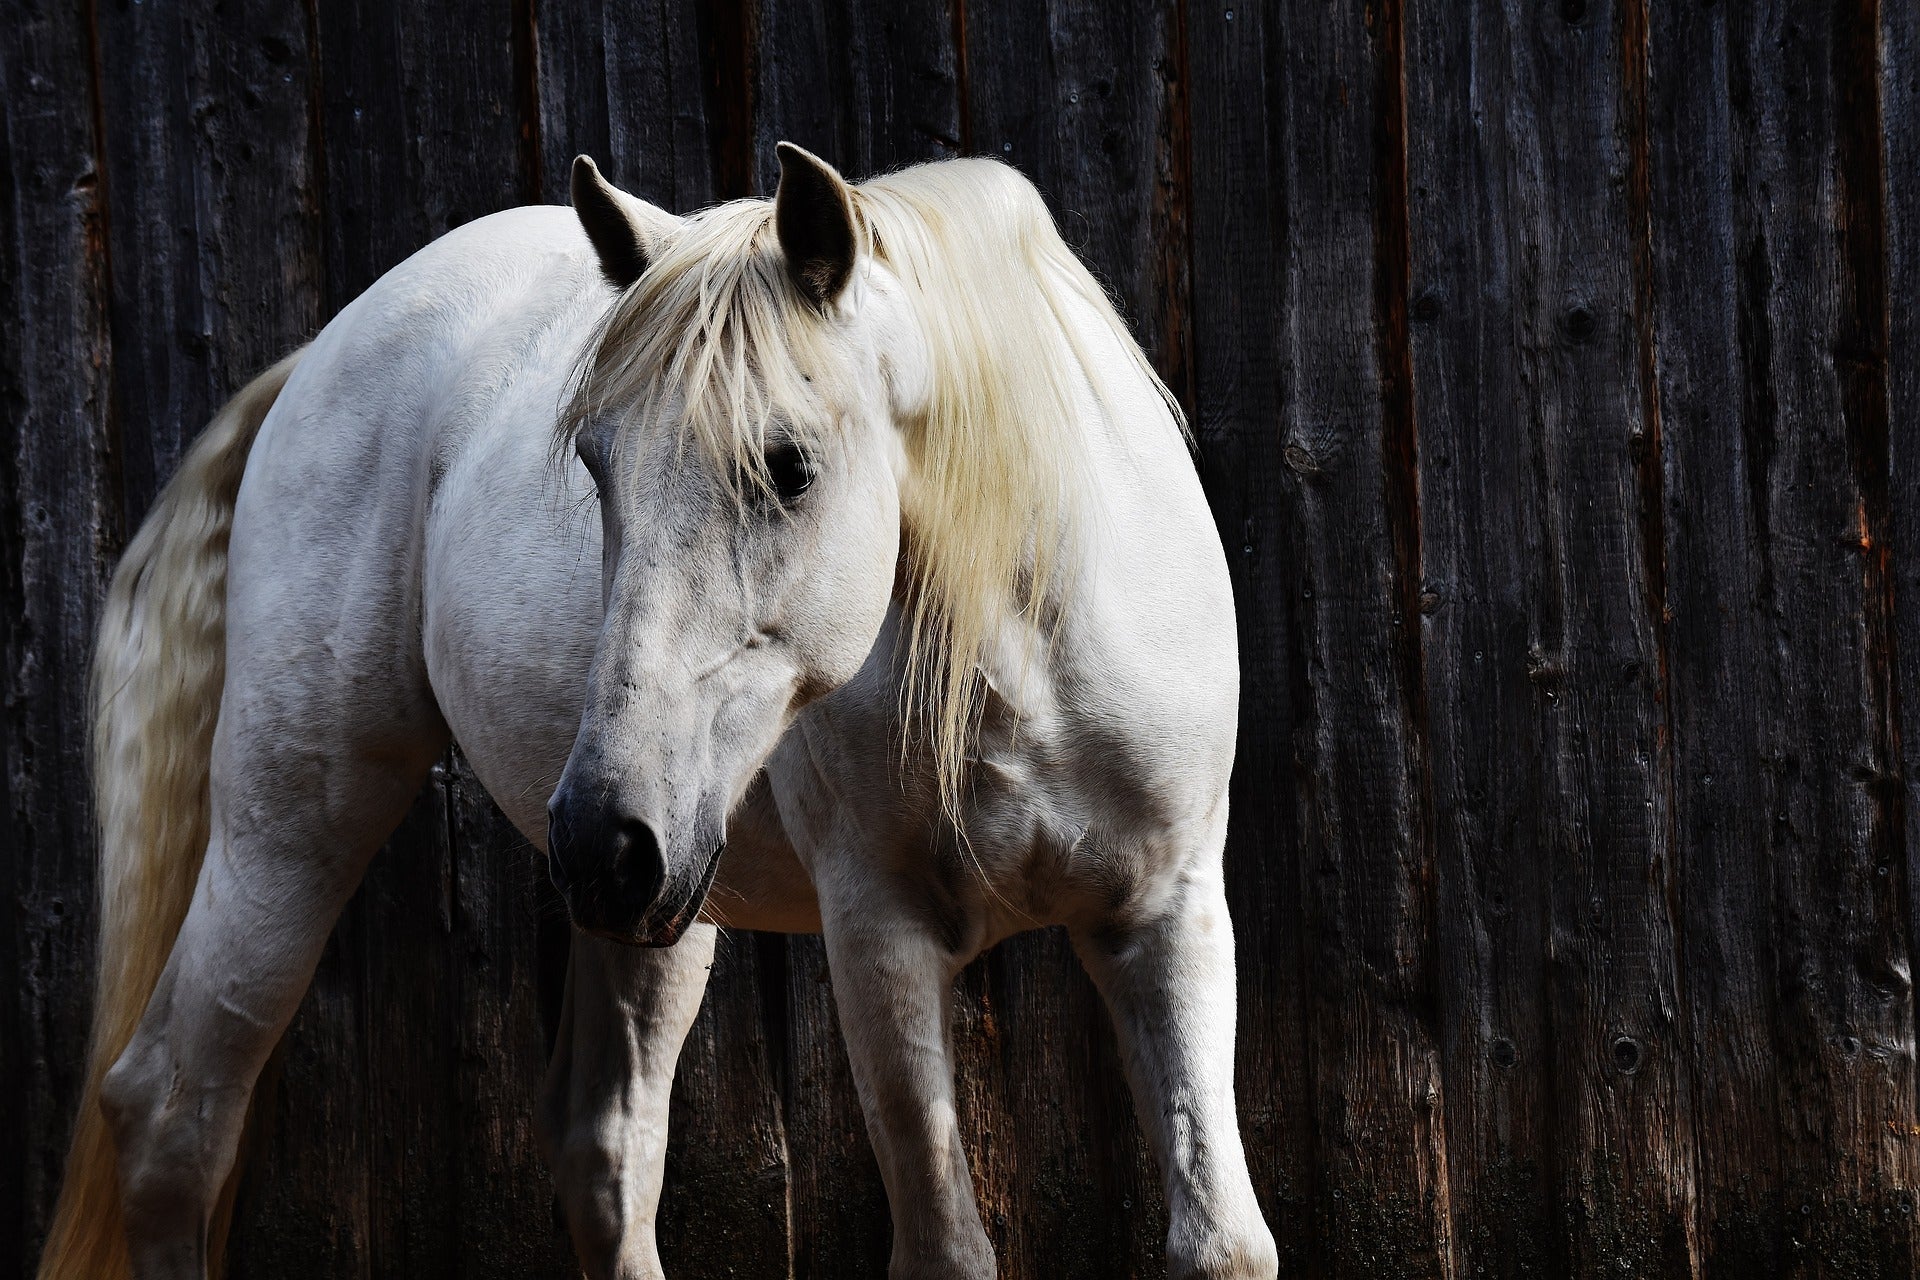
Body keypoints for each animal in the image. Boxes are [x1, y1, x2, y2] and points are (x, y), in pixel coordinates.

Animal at [41, 144, 1274, 1274]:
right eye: (594, 461)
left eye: (790, 465)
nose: (600, 835)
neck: (1021, 654)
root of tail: (326, 350)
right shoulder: (880, 936)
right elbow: (947, 1250)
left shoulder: (1168, 917)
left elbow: (1221, 1242)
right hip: (304, 824)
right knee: (172, 1113)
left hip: (657, 905)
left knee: (605, 1150)